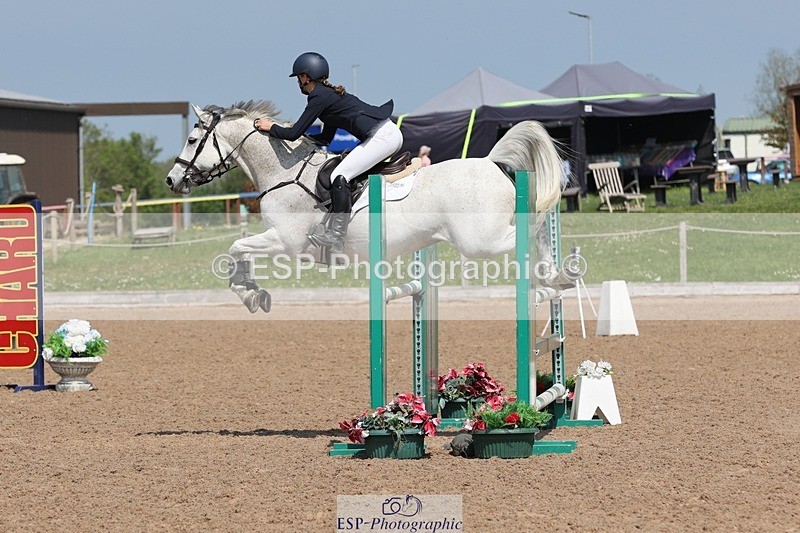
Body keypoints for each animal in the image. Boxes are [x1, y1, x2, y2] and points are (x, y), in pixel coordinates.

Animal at [165, 101, 567, 313]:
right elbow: (239, 250)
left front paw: (250, 293)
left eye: (192, 139)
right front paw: (253, 293)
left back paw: (556, 270)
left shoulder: (286, 241)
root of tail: (491, 162)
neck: (285, 170)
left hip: (479, 241)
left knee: (532, 228)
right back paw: (554, 274)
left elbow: (236, 247)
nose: (171, 180)